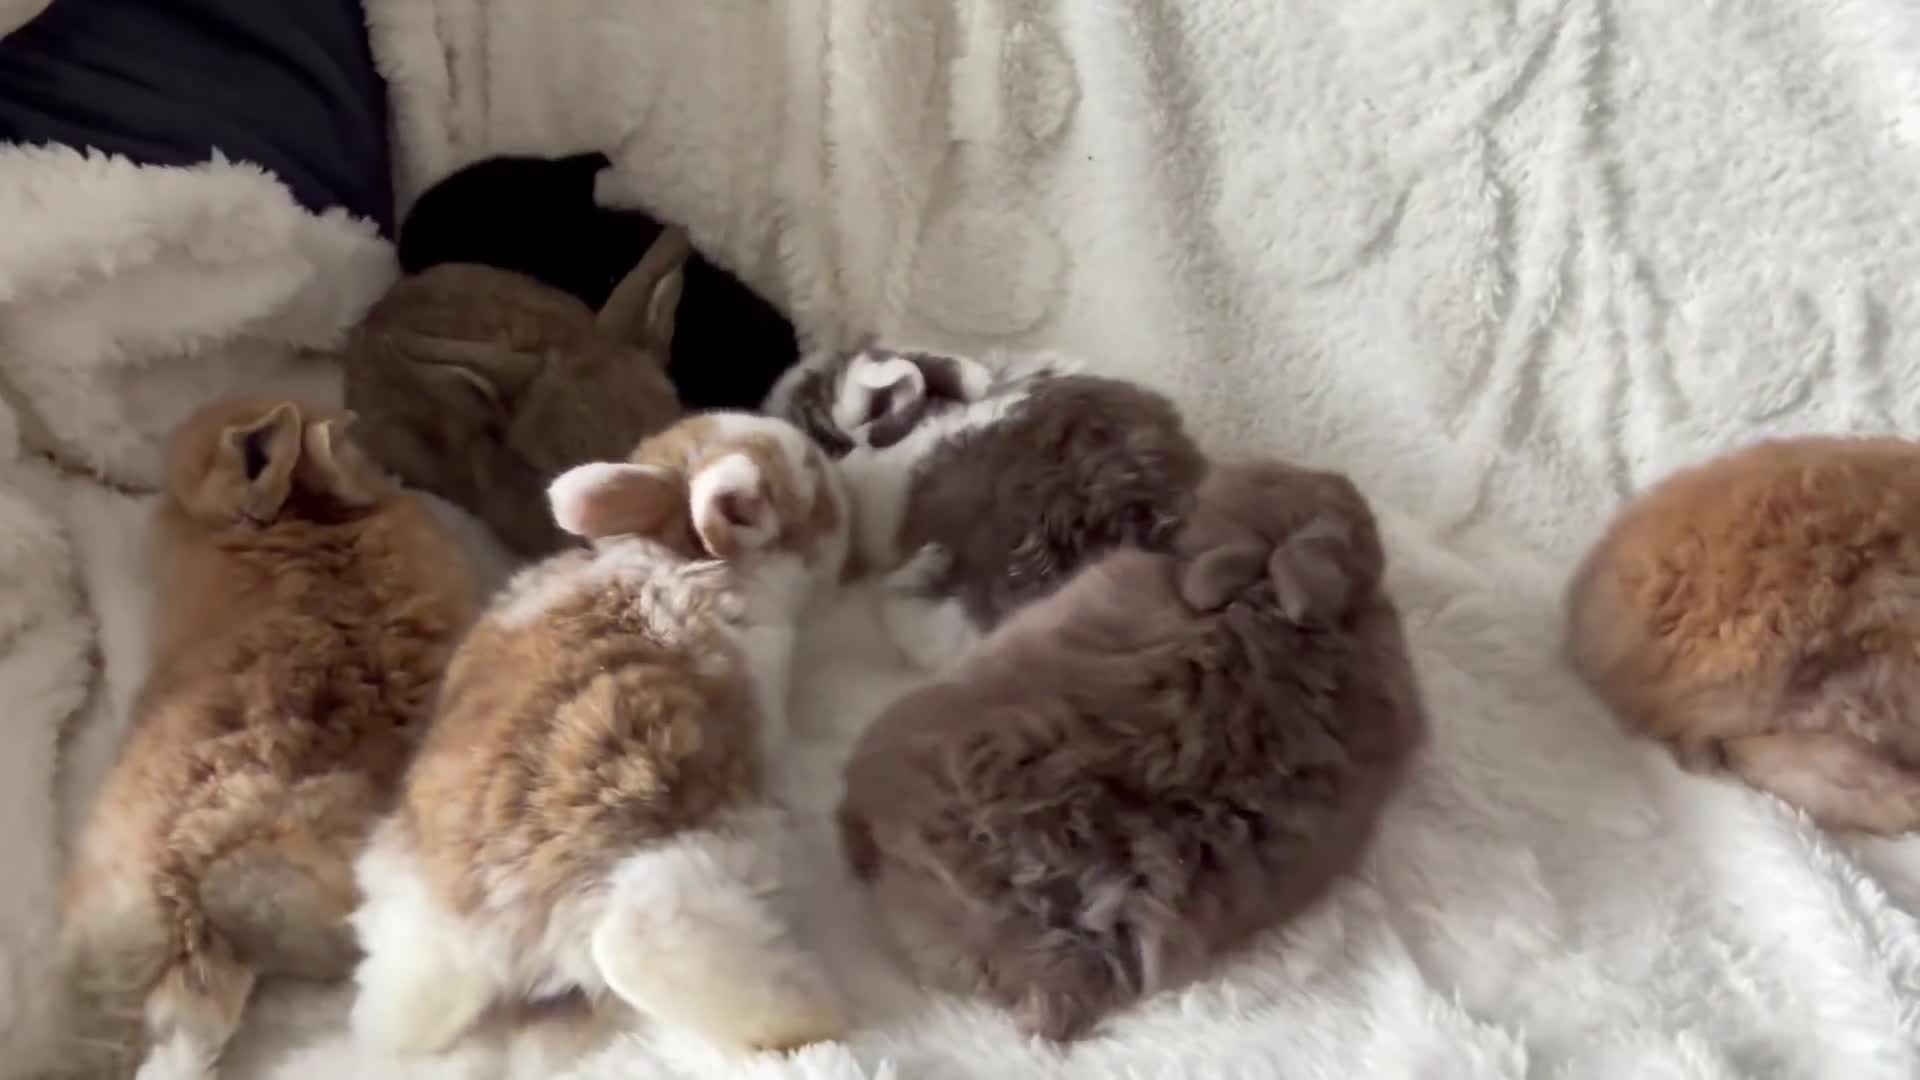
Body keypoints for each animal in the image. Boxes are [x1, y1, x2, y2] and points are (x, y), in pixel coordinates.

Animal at [347, 411, 853, 1058]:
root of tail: (487, 935)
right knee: (642, 948)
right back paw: (814, 1012)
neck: (674, 553)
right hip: (681, 868)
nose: (842, 480)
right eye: (816, 496)